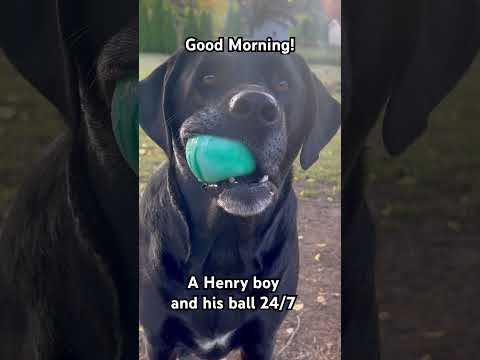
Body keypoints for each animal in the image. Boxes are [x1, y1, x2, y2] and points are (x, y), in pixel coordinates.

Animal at [139, 49, 340, 358]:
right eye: (208, 77)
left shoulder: (262, 338)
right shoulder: (158, 338)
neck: (224, 248)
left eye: (283, 84)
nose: (256, 107)